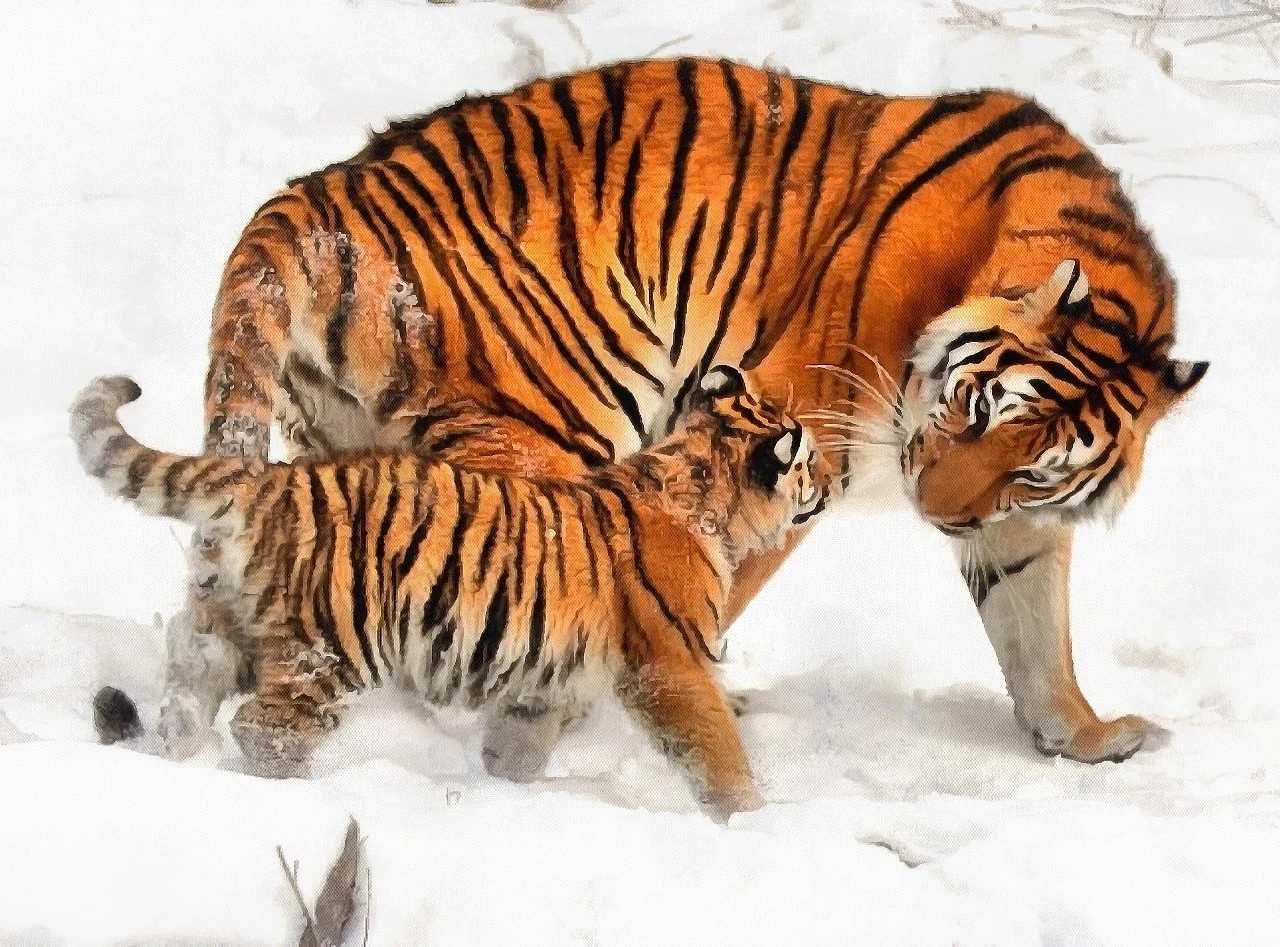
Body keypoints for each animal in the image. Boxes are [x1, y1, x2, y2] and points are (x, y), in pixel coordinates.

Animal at [72, 366, 826, 820]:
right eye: (809, 459)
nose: (824, 481)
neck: (696, 476)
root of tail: (267, 478)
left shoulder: (543, 678)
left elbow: (519, 744)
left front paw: (507, 788)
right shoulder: (672, 664)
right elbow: (716, 751)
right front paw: (753, 819)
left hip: (219, 623)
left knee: (186, 689)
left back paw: (176, 762)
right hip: (330, 648)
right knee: (266, 728)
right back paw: (300, 792)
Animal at [104, 56, 1207, 769]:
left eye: (1035, 465)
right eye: (974, 405)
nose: (937, 514)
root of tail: (309, 196)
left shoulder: (1015, 520)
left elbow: (1035, 625)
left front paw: (1083, 735)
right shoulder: (790, 429)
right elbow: (716, 580)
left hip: (346, 446)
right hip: (546, 434)